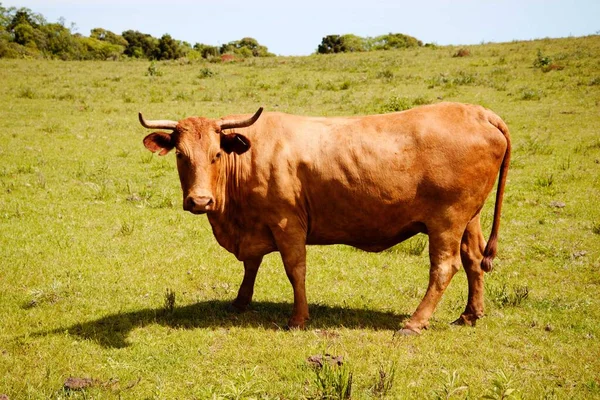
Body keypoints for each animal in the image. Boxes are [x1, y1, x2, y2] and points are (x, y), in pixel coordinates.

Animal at [138, 103, 508, 334]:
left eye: (216, 154)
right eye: (181, 156)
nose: (200, 200)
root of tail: (479, 112)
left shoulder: (287, 223)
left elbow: (295, 269)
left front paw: (298, 319)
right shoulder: (256, 226)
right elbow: (251, 266)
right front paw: (241, 302)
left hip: (447, 220)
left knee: (445, 267)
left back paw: (415, 322)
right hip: (469, 218)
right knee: (473, 260)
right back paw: (470, 315)